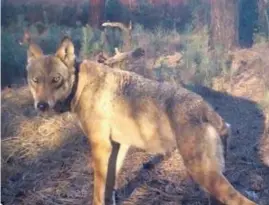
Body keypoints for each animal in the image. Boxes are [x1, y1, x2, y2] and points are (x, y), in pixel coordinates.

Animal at [25, 36, 255, 205]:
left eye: (56, 79)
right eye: (35, 80)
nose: (41, 106)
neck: (80, 85)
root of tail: (207, 109)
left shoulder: (100, 146)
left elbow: (98, 191)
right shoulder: (118, 146)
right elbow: (110, 187)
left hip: (204, 175)